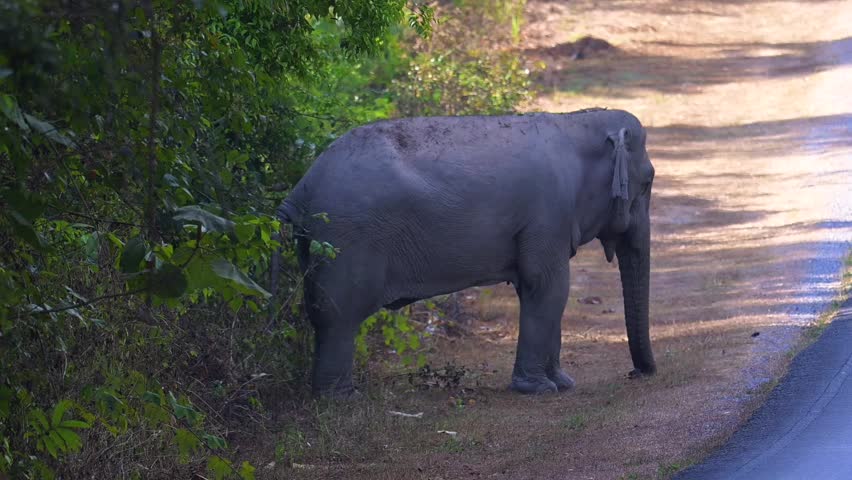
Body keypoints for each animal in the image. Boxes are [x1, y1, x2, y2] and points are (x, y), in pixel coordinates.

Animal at [277, 108, 656, 397]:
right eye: (650, 181)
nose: (638, 373)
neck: (578, 123)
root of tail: (300, 189)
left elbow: (538, 289)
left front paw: (562, 383)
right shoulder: (549, 215)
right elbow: (549, 287)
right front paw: (541, 390)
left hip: (320, 241)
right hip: (345, 240)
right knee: (339, 316)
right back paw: (342, 399)